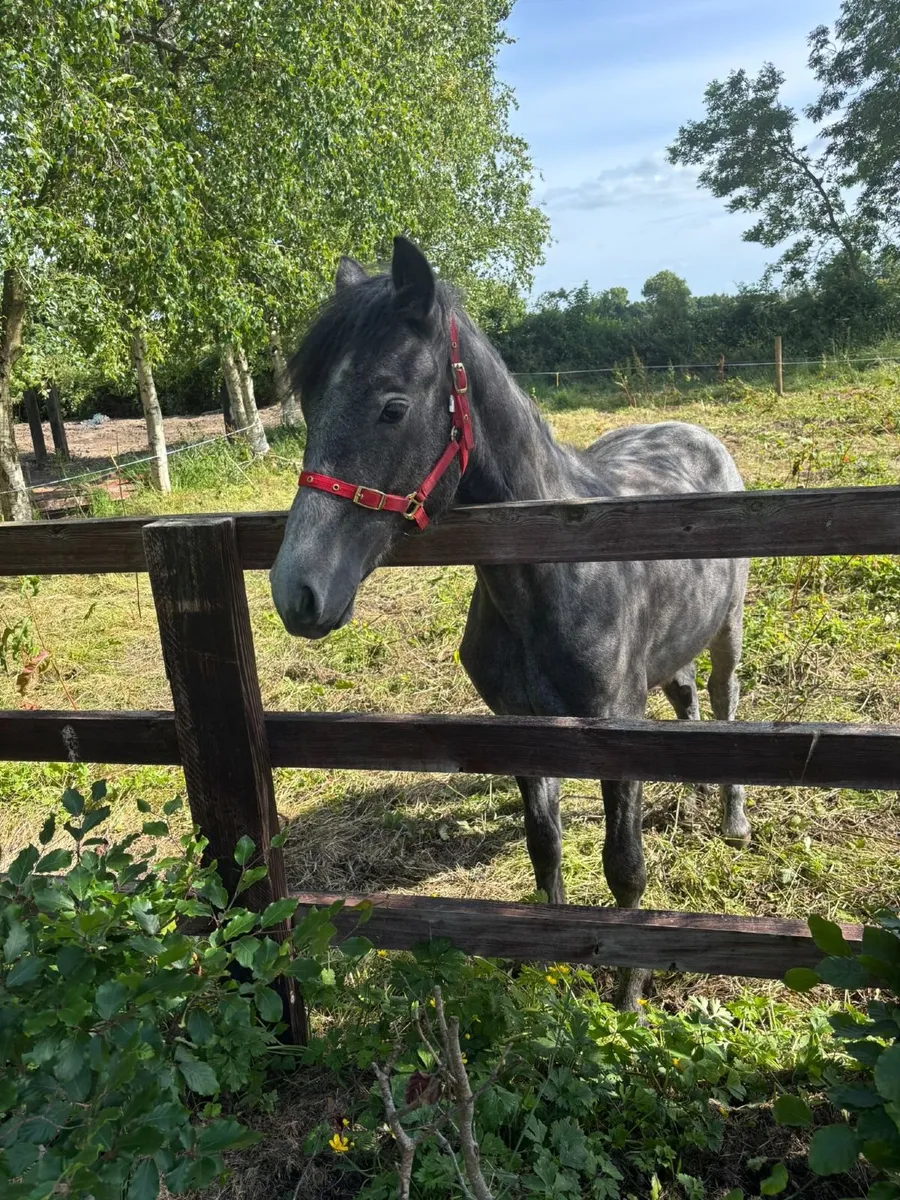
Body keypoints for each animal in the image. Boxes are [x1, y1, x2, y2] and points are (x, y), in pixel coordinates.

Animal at [270, 236, 750, 1009]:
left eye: (392, 406)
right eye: (311, 405)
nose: (298, 591)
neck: (553, 574)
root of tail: (694, 431)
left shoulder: (615, 728)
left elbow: (625, 866)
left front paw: (628, 995)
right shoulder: (524, 729)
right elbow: (543, 845)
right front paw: (544, 971)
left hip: (729, 628)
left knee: (727, 699)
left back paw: (733, 816)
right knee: (685, 698)